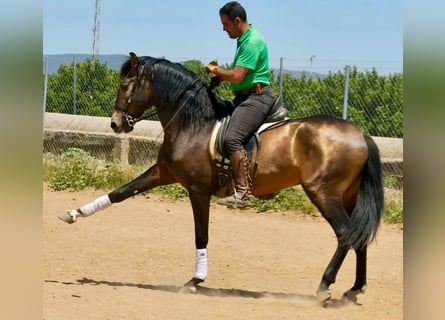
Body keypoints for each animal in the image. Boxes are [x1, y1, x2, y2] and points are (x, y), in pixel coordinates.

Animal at [59, 51, 384, 304]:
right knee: (359, 235)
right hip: (347, 195)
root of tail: (360, 134)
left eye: (125, 84)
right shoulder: (163, 172)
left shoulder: (197, 190)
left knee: (345, 234)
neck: (193, 124)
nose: (115, 124)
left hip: (322, 192)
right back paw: (354, 289)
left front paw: (195, 281)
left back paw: (325, 286)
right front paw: (73, 213)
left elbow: (200, 235)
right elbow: (119, 193)